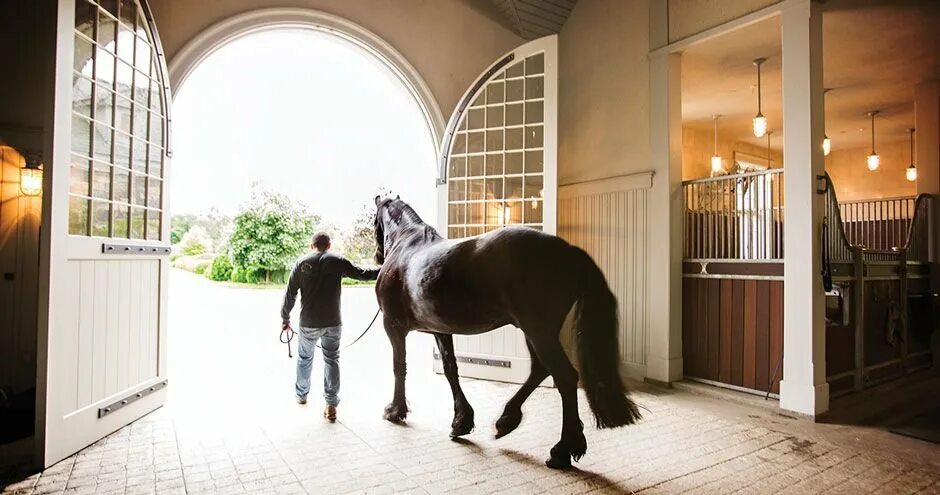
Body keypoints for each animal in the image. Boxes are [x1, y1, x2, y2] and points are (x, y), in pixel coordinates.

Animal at [370, 195, 644, 468]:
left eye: (374, 222)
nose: (377, 256)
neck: (408, 246)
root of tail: (569, 252)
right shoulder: (441, 330)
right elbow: (451, 370)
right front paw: (461, 422)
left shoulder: (393, 326)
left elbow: (399, 367)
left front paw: (395, 410)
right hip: (534, 332)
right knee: (540, 370)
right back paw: (507, 420)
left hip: (538, 332)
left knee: (564, 376)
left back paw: (562, 450)